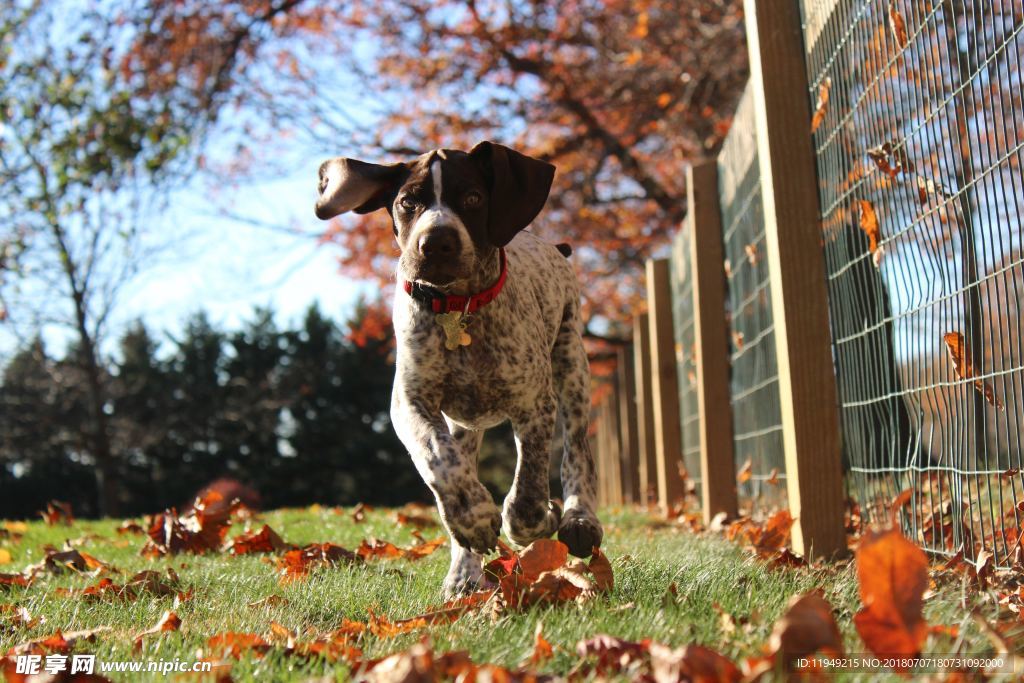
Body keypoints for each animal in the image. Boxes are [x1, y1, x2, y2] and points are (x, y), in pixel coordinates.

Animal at [311, 141, 598, 593]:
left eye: (473, 198)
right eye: (408, 202)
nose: (436, 242)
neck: (457, 310)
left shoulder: (534, 404)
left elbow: (528, 491)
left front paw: (539, 518)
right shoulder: (410, 403)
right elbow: (437, 458)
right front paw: (473, 519)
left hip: (571, 366)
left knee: (577, 452)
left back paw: (579, 520)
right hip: (465, 424)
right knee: (458, 461)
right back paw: (464, 574)